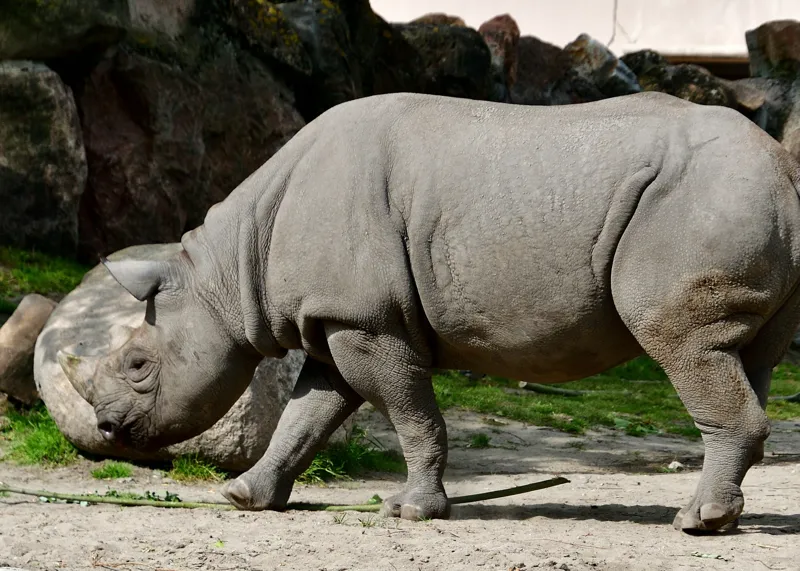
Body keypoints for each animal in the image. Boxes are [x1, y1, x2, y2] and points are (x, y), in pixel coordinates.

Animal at [60, 91, 800, 532]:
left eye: (137, 364)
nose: (107, 428)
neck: (228, 271)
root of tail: (783, 165)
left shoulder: (365, 321)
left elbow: (411, 415)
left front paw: (410, 511)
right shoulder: (338, 320)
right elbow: (305, 418)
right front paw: (243, 496)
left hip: (702, 202)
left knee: (683, 345)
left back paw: (696, 522)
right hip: (741, 200)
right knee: (748, 356)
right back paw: (722, 519)